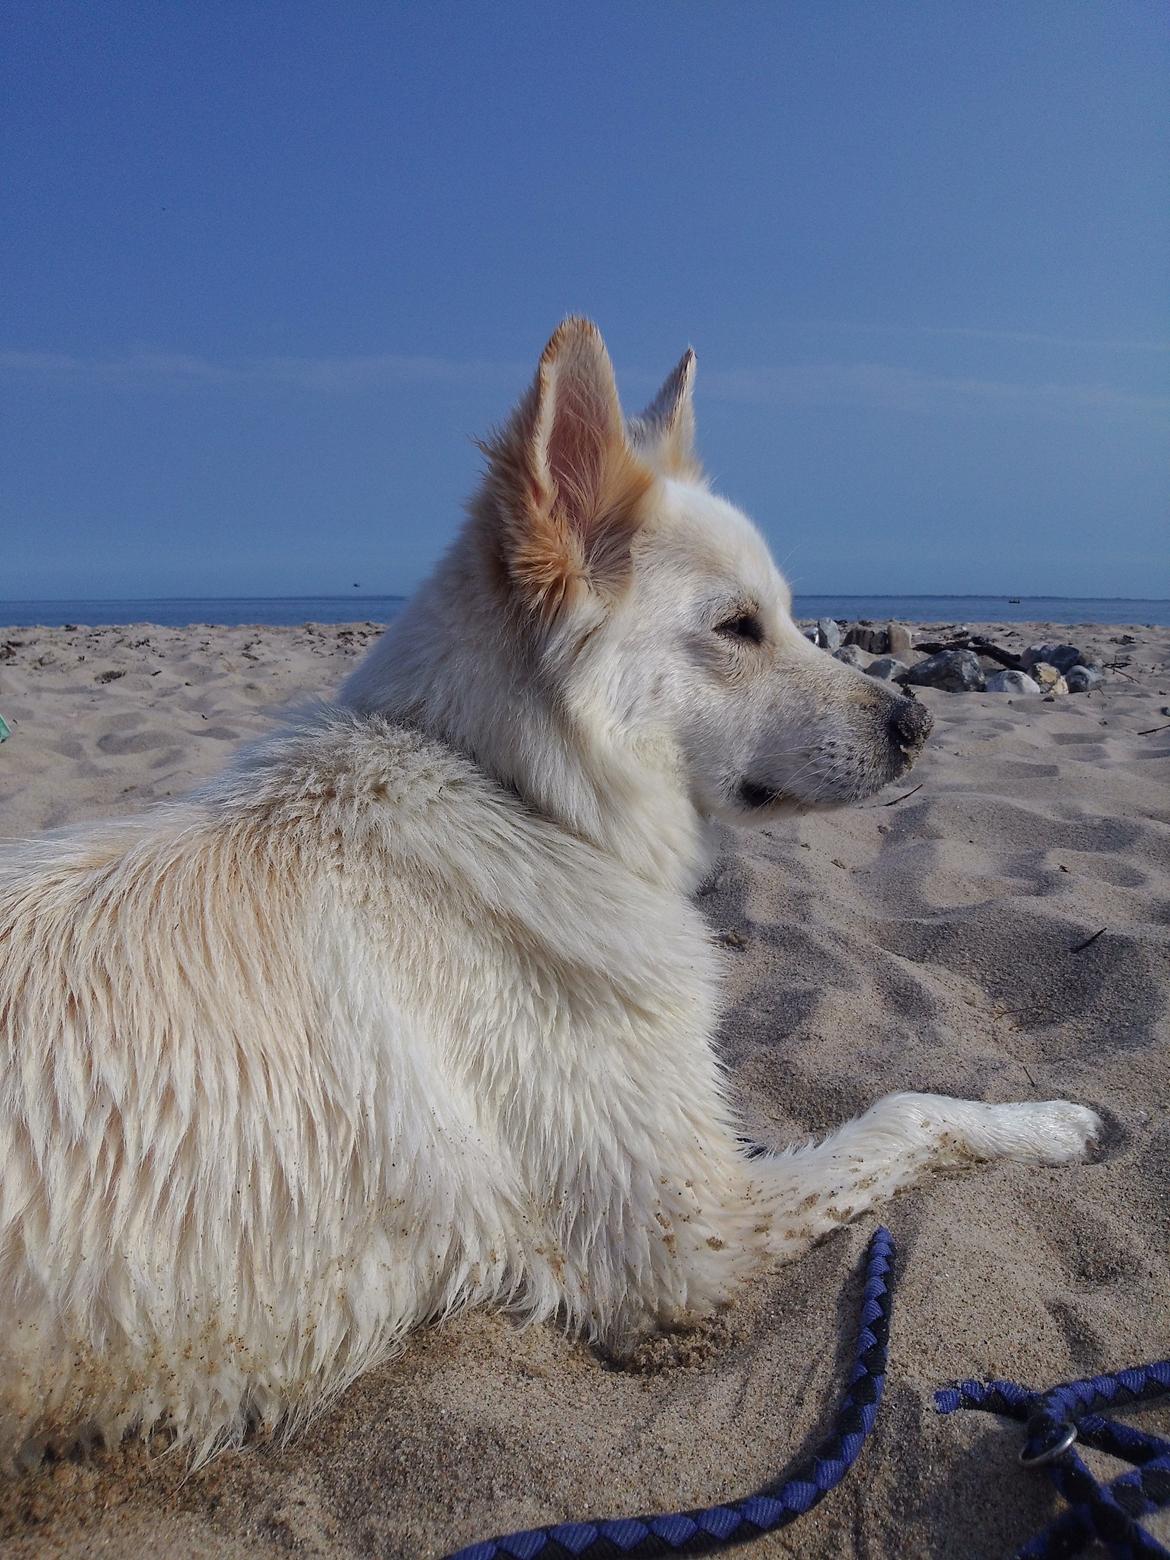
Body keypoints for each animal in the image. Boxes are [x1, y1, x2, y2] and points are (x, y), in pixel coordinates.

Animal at [0, 322, 1098, 1466]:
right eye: (738, 627)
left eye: (794, 618)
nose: (919, 724)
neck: (523, 794)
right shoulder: (691, 1237)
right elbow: (905, 1113)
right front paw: (1050, 1123)